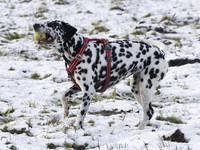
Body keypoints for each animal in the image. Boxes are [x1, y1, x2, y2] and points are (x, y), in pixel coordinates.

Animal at [33, 20, 168, 129]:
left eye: (52, 24)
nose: (35, 25)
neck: (79, 50)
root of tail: (160, 53)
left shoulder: (88, 92)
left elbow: (80, 114)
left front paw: (76, 128)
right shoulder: (79, 86)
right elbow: (62, 95)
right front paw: (66, 110)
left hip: (145, 87)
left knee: (148, 112)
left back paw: (138, 130)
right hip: (136, 88)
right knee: (149, 110)